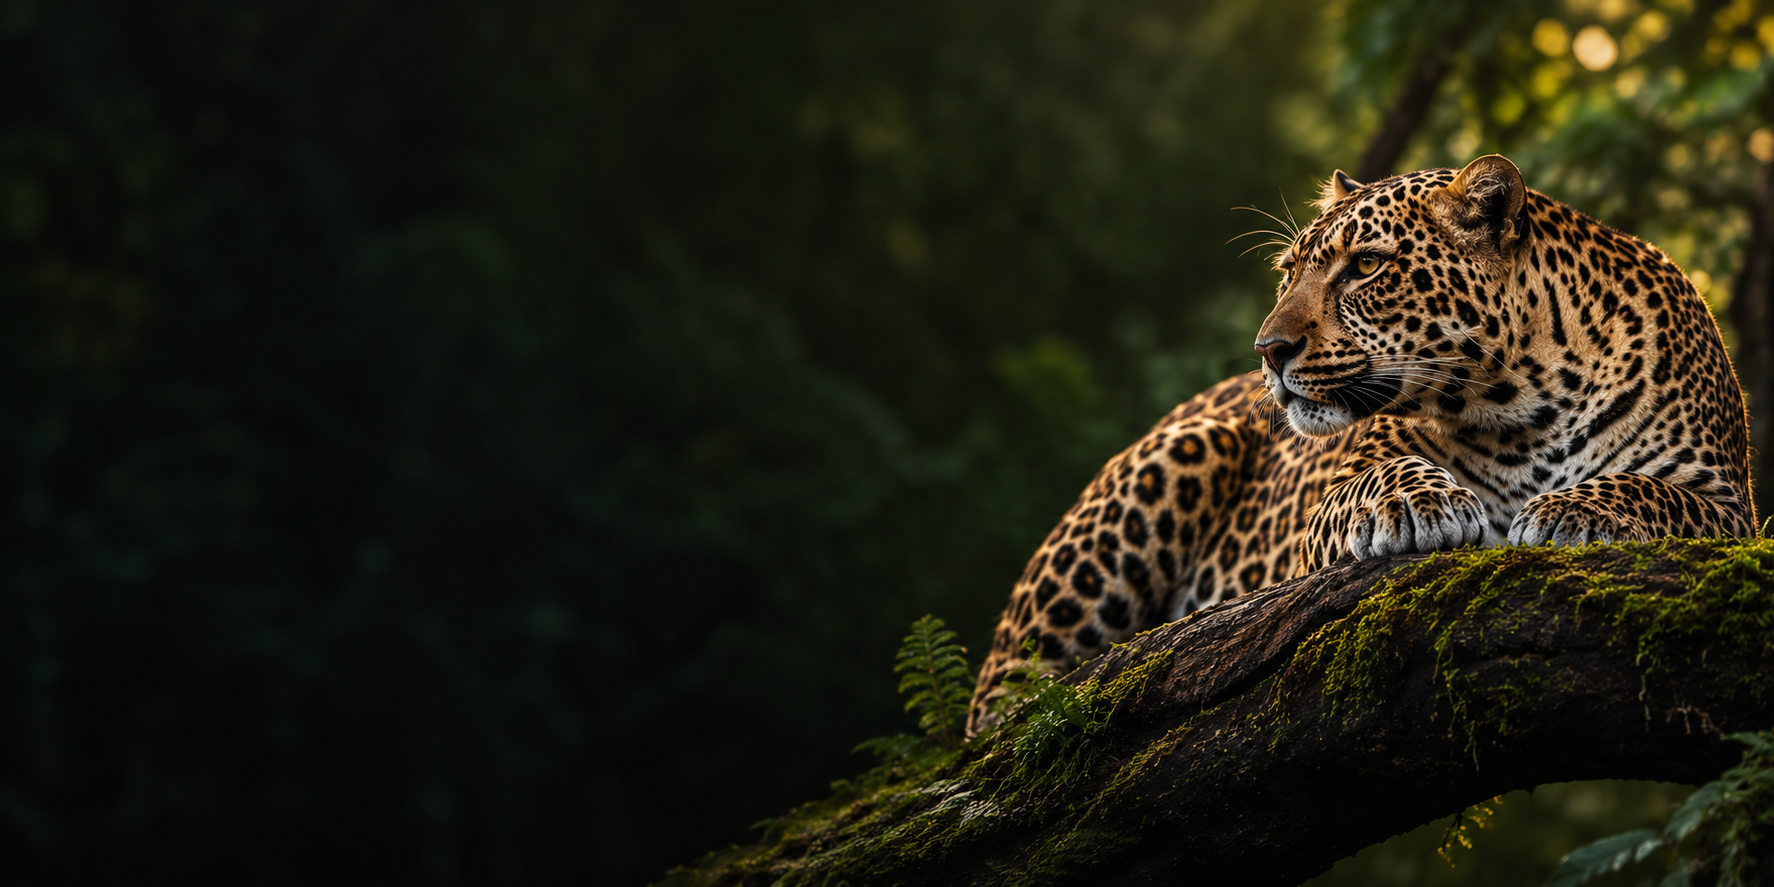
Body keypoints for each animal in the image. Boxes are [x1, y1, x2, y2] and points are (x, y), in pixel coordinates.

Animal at [967, 154, 1758, 736]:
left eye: (1367, 266)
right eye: (1289, 272)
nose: (1269, 351)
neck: (1524, 404)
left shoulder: (1728, 506)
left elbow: (1648, 489)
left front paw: (1573, 510)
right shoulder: (1320, 510)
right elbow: (1374, 477)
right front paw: (1413, 503)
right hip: (1177, 461)